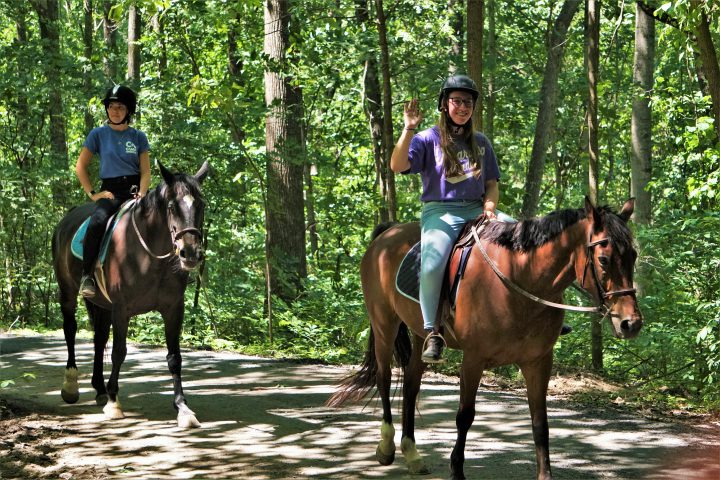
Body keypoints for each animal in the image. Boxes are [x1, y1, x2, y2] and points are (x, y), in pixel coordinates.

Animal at [52, 160, 210, 428]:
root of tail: (67, 218)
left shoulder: (173, 308)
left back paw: (99, 389)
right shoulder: (121, 308)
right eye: (171, 206)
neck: (149, 255)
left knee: (99, 338)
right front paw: (114, 403)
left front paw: (183, 408)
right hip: (68, 292)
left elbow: (174, 357)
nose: (190, 253)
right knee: (70, 330)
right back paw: (71, 385)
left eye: (200, 205)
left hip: (101, 304)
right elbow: (119, 352)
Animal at [330, 198, 644, 480]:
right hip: (384, 324)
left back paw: (413, 454)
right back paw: (386, 447)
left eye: (633, 256)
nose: (630, 323)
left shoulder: (538, 361)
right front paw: (457, 471)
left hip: (420, 335)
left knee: (410, 384)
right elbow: (465, 416)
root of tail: (387, 233)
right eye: (603, 259)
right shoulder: (474, 359)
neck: (522, 280)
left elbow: (540, 423)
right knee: (384, 378)